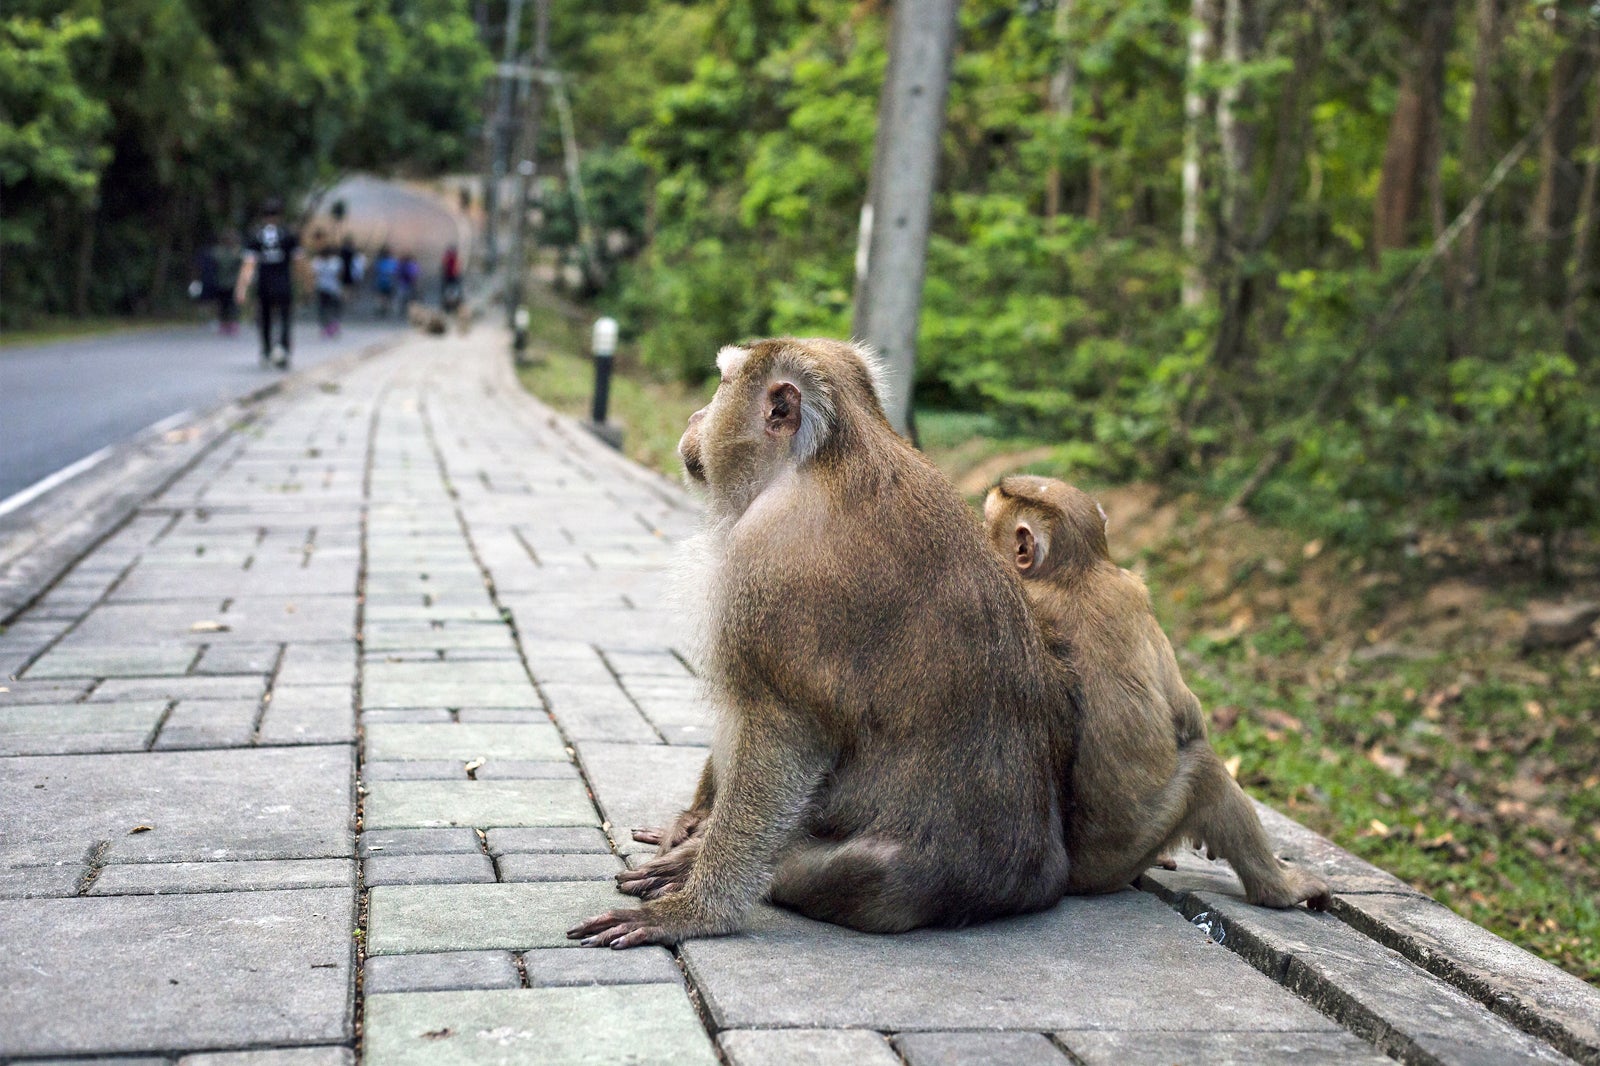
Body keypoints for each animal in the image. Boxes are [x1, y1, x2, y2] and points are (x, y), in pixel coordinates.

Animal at [563, 336, 1075, 941]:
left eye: (720, 386)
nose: (693, 418)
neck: (817, 460)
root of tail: (1033, 884)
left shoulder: (765, 569)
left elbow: (782, 731)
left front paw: (692, 911)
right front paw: (695, 824)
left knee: (866, 872)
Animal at [979, 476, 1331, 909]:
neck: (1070, 572)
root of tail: (1078, 877)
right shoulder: (1134, 593)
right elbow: (1187, 716)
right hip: (1139, 840)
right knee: (1205, 771)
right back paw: (1278, 890)